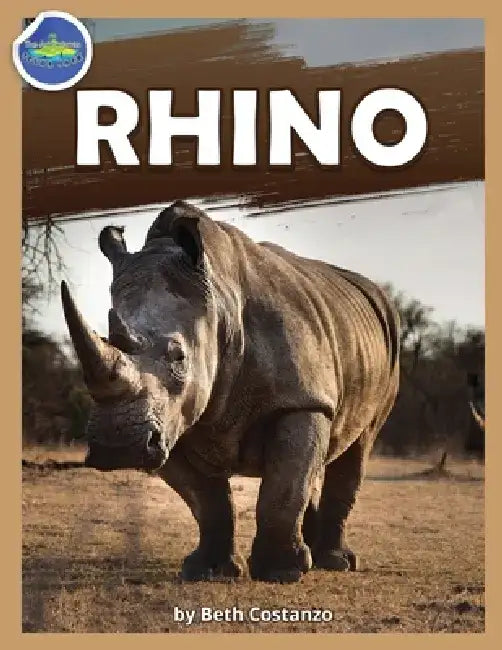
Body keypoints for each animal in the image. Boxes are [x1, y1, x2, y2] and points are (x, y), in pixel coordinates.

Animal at [61, 200, 400, 583]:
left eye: (179, 356)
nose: (117, 446)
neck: (219, 307)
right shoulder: (172, 420)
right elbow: (208, 502)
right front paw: (208, 570)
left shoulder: (301, 400)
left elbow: (282, 490)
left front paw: (280, 572)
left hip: (386, 351)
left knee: (359, 444)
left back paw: (335, 562)